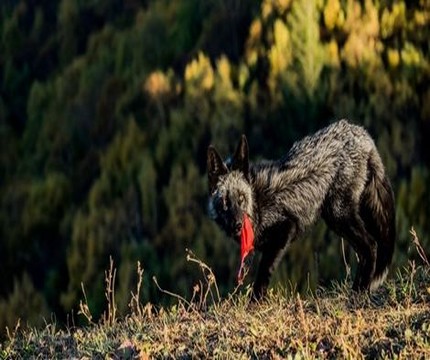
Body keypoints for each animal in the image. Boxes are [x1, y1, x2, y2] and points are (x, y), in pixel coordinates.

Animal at [208, 119, 396, 300]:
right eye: (225, 203)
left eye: (241, 199)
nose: (238, 225)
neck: (257, 204)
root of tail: (360, 133)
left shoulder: (285, 228)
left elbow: (263, 274)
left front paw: (255, 302)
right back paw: (357, 291)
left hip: (338, 215)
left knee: (371, 246)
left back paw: (360, 293)